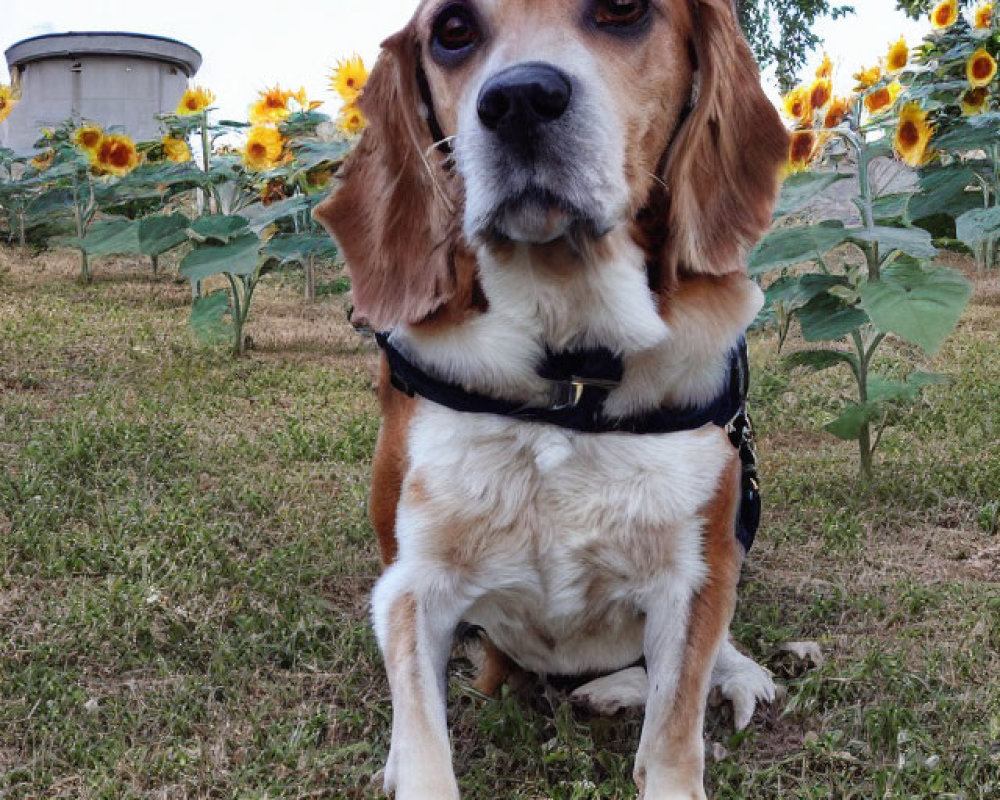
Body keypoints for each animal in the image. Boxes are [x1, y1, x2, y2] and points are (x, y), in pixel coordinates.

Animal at [316, 3, 792, 796]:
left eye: (623, 11)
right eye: (452, 31)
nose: (518, 100)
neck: (570, 372)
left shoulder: (695, 579)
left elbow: (675, 731)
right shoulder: (413, 585)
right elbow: (421, 738)